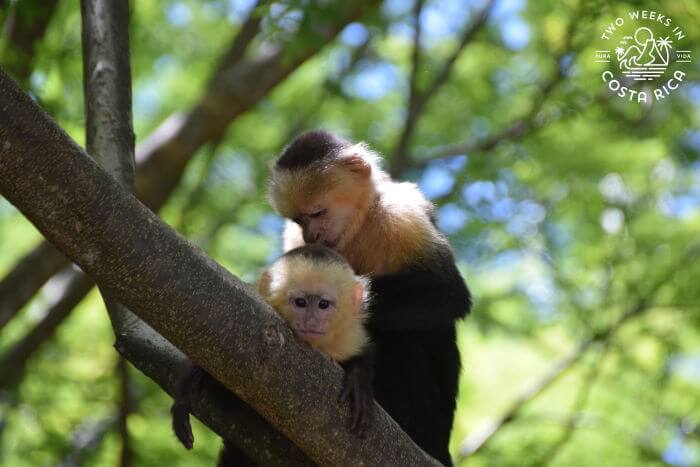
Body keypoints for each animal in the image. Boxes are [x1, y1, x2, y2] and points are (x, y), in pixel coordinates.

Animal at [170, 245, 374, 464]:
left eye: (323, 304)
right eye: (300, 302)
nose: (311, 321)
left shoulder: (348, 340)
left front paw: (358, 380)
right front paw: (188, 391)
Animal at [270, 130, 474, 466]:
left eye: (317, 213)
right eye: (299, 220)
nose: (312, 235)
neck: (358, 228)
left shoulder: (404, 216)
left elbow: (449, 294)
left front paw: (359, 365)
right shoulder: (295, 239)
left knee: (401, 336)